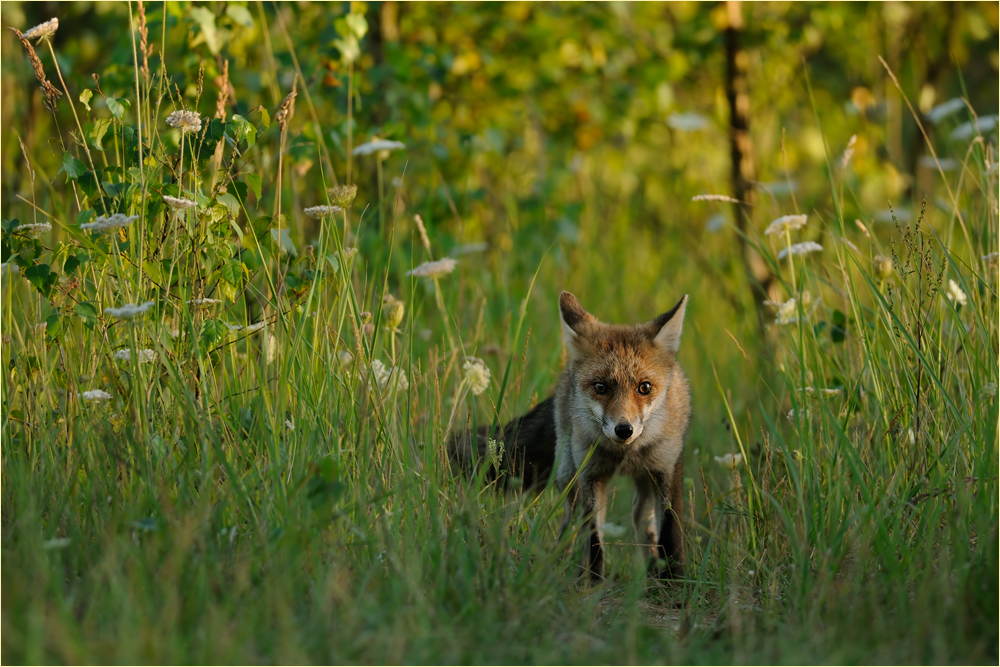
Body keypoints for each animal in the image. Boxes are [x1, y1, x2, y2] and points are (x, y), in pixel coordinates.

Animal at [452, 290, 692, 580]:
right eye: (600, 387)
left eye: (644, 387)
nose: (624, 430)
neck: (625, 453)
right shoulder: (589, 475)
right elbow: (594, 539)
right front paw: (594, 582)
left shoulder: (667, 469)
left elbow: (670, 535)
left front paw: (675, 581)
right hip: (567, 472)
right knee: (570, 521)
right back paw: (560, 564)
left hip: (644, 479)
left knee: (640, 519)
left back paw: (651, 569)